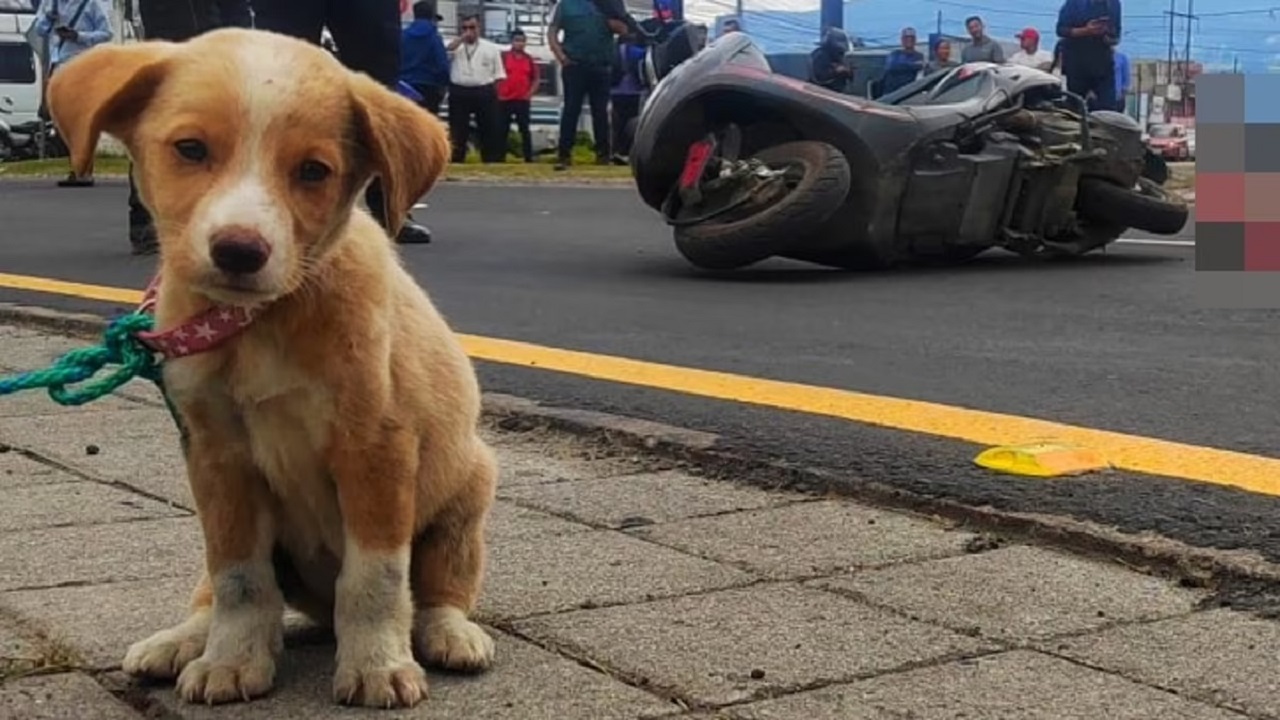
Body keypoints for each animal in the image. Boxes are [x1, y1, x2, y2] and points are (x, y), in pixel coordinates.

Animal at [46, 29, 494, 707]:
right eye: (191, 149)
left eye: (313, 171)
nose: (239, 250)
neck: (261, 323)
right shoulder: (216, 457)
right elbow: (239, 579)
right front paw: (232, 660)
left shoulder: (378, 448)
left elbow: (376, 577)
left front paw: (376, 665)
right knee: (214, 590)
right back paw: (181, 641)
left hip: (467, 492)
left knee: (438, 588)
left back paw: (449, 634)